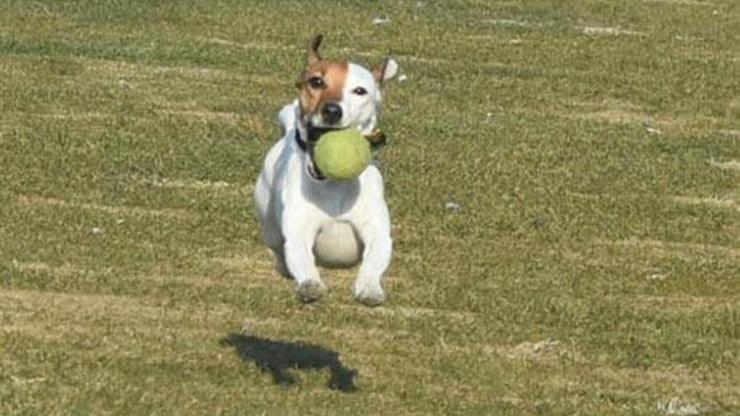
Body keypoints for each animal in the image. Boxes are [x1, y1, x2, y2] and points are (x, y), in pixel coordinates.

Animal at [253, 35, 396, 306]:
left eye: (360, 91)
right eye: (316, 82)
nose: (332, 110)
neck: (332, 184)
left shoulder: (377, 228)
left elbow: (375, 258)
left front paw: (369, 287)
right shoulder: (298, 227)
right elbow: (301, 256)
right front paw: (310, 284)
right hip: (270, 224)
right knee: (278, 249)